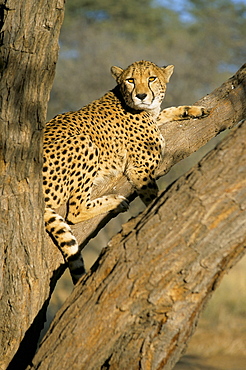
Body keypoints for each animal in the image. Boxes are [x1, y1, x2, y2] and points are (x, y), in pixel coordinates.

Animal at [43, 60, 209, 284]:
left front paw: (194, 110)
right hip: (84, 142)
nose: (141, 96)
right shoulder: (139, 169)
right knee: (75, 211)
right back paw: (116, 202)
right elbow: (153, 197)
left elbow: (167, 111)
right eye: (130, 80)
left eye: (151, 78)